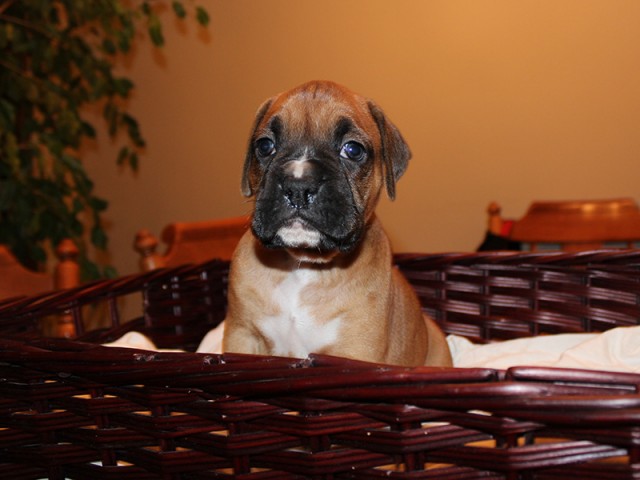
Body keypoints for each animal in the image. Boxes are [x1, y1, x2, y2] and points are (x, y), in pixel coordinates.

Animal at [222, 81, 452, 368]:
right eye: (265, 146)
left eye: (352, 150)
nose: (298, 186)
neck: (304, 266)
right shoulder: (241, 335)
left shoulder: (356, 349)